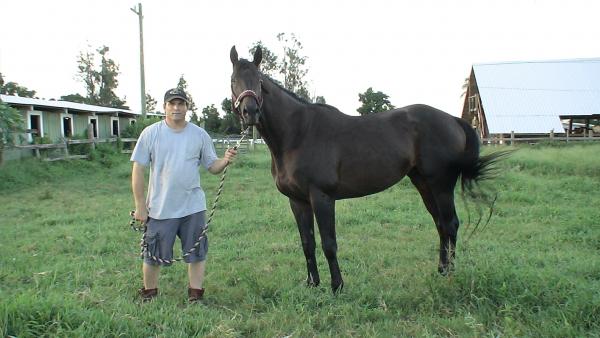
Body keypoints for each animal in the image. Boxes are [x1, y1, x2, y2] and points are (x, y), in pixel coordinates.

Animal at [232, 46, 504, 292]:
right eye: (234, 79)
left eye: (259, 81)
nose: (250, 112)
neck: (297, 133)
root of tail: (453, 120)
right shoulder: (297, 201)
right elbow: (307, 243)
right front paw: (312, 284)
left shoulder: (322, 197)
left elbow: (328, 243)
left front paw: (337, 287)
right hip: (423, 183)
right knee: (440, 225)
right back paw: (441, 269)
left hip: (441, 185)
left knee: (450, 224)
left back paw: (450, 274)